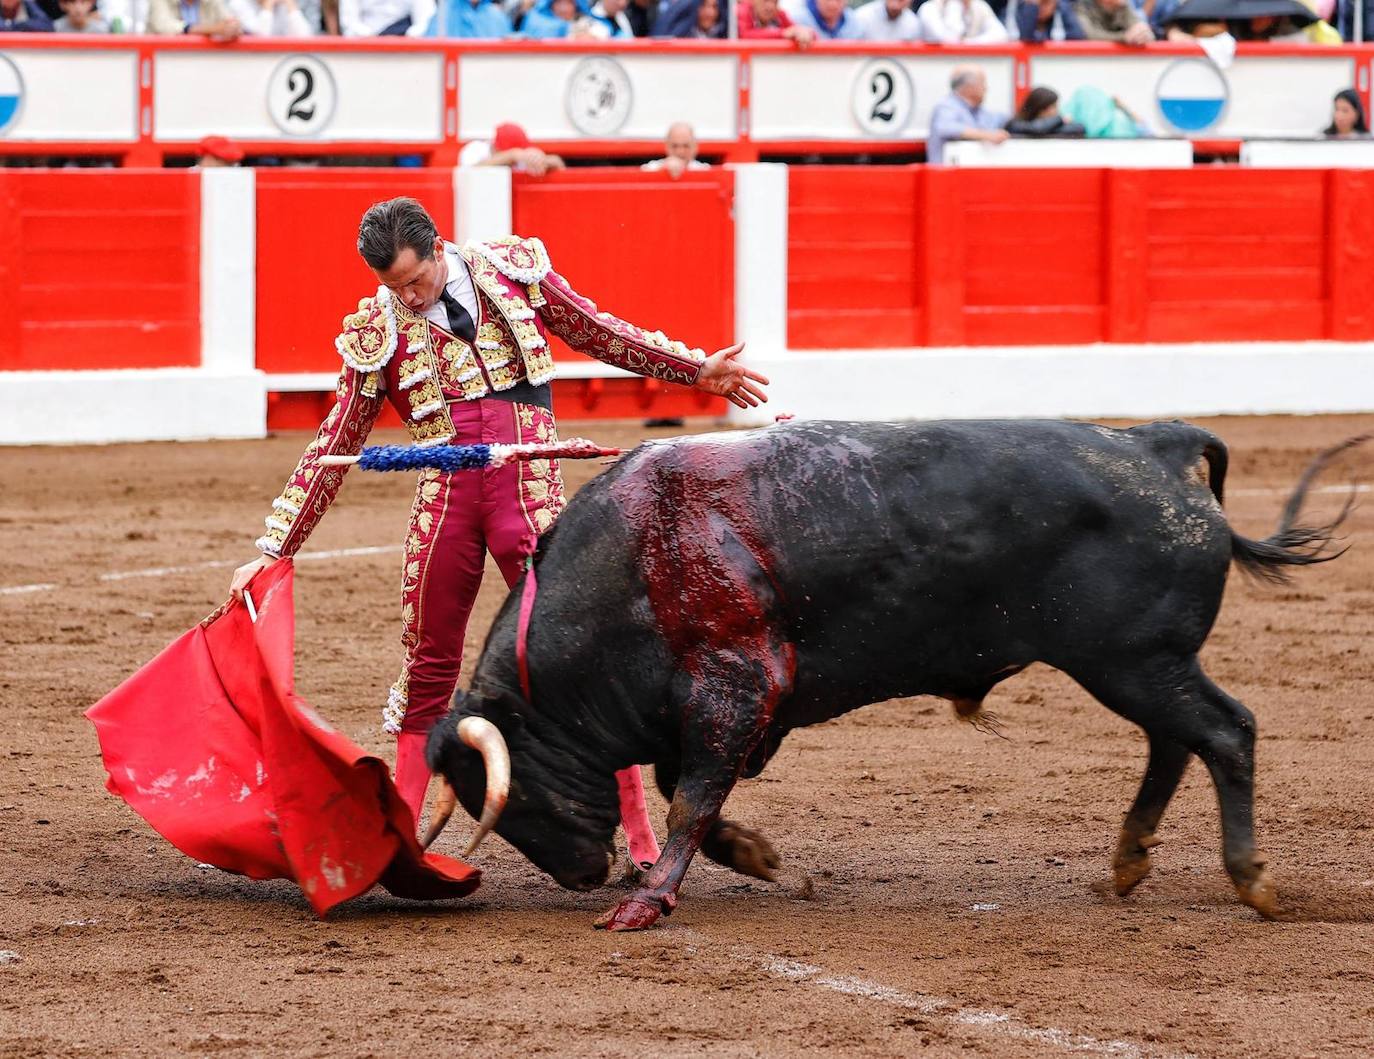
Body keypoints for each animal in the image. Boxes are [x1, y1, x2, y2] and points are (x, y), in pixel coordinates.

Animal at [428, 417, 1363, 934]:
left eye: (509, 792)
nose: (583, 874)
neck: (630, 562)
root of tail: (1157, 447)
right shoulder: (719, 703)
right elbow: (685, 787)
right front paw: (761, 856)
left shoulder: (737, 684)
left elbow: (690, 794)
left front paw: (645, 902)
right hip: (1134, 663)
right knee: (1175, 741)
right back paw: (1131, 860)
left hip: (1138, 659)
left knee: (1224, 731)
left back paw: (1253, 880)